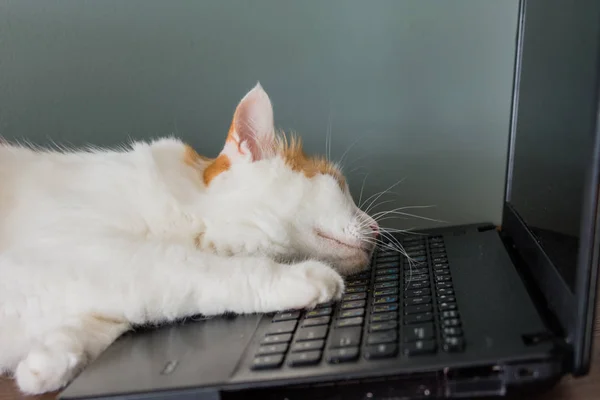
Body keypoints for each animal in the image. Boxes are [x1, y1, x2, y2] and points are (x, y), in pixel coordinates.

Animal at [0, 83, 378, 396]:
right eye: (338, 183)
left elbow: (97, 328)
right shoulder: (97, 252)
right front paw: (302, 278)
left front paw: (44, 365)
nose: (376, 229)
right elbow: (209, 272)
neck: (189, 206)